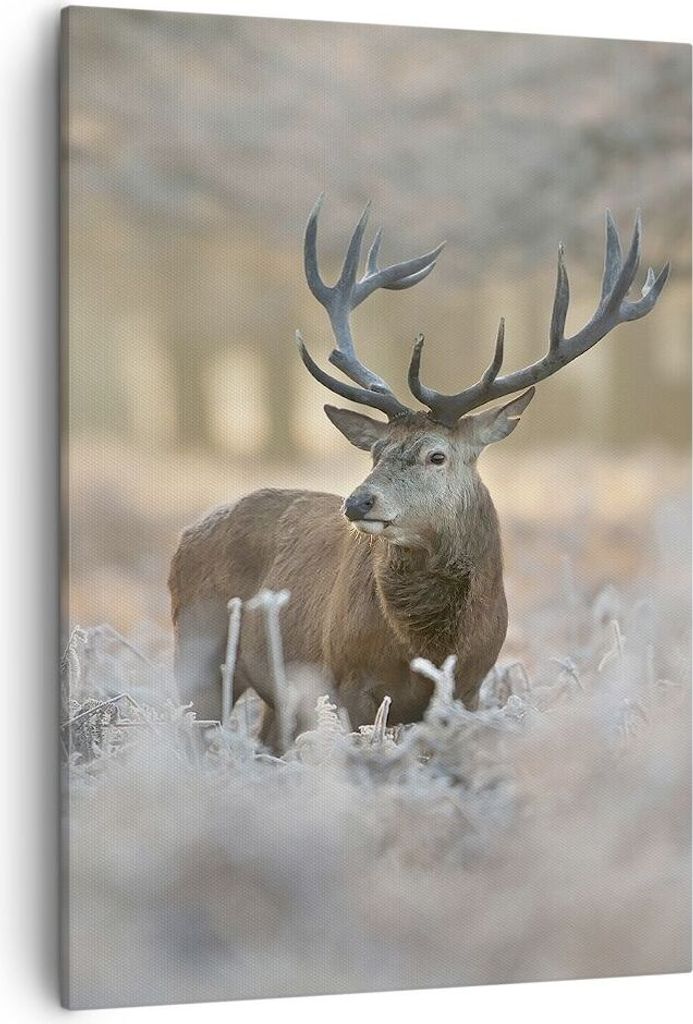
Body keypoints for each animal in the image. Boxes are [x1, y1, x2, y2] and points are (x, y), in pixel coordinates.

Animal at [168, 197, 668, 751]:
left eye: (437, 456)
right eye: (375, 452)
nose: (358, 502)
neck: (426, 645)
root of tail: (187, 535)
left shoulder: (469, 687)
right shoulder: (347, 682)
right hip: (198, 650)